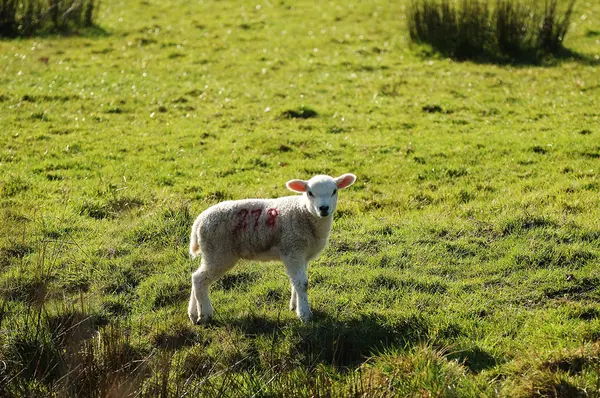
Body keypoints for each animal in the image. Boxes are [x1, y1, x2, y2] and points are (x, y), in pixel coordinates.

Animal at [188, 174, 356, 324]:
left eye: (334, 191)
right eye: (310, 193)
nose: (323, 208)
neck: (303, 212)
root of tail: (199, 221)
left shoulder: (300, 254)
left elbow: (295, 282)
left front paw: (294, 306)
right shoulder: (293, 249)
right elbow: (302, 283)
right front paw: (305, 314)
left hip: (211, 253)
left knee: (196, 277)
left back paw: (193, 314)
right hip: (218, 252)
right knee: (200, 280)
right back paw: (205, 315)